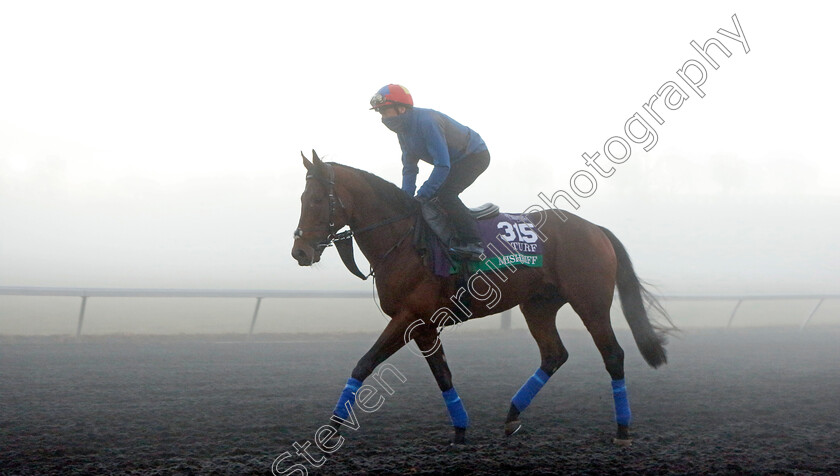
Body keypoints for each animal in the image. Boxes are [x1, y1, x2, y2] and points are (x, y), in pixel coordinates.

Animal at [292, 152, 672, 446]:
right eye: (301, 199)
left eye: (315, 200)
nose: (300, 251)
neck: (404, 240)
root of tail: (596, 229)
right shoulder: (424, 327)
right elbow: (443, 375)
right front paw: (460, 431)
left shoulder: (410, 317)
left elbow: (364, 363)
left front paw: (330, 430)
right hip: (538, 305)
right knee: (554, 355)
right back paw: (512, 414)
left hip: (590, 303)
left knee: (613, 355)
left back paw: (622, 429)